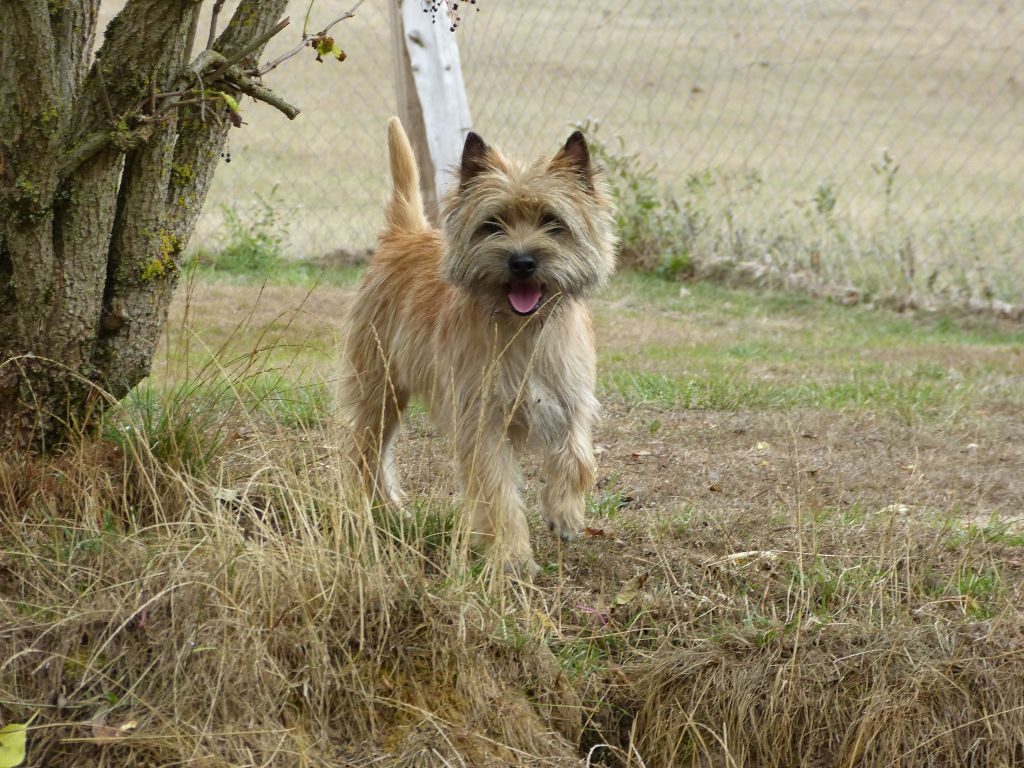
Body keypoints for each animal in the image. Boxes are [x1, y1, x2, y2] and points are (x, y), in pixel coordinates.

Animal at [342, 115, 614, 573]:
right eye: (493, 224)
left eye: (552, 221)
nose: (522, 262)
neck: (524, 330)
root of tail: (405, 234)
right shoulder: (482, 420)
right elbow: (496, 489)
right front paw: (512, 556)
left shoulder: (571, 398)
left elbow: (578, 455)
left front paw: (564, 514)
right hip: (376, 389)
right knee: (366, 451)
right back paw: (372, 511)